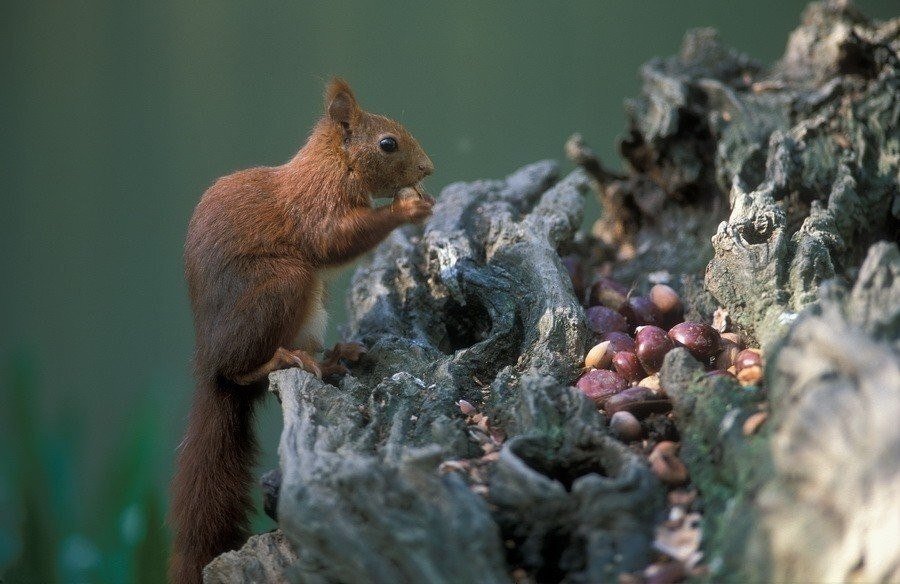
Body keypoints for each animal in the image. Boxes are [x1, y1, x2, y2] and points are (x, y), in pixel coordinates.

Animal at [171, 78, 438, 584]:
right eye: (387, 144)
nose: (428, 169)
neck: (334, 166)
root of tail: (207, 362)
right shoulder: (316, 209)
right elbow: (334, 242)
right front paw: (408, 208)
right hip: (283, 286)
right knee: (241, 370)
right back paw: (280, 360)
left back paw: (332, 357)